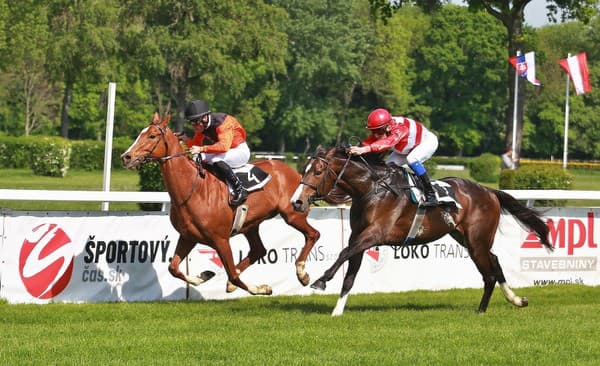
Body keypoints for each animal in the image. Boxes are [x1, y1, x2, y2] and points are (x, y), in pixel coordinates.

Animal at [119, 113, 322, 296]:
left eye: (152, 136)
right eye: (141, 133)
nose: (126, 157)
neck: (193, 190)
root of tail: (297, 174)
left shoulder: (221, 240)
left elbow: (233, 275)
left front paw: (261, 288)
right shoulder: (187, 237)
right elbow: (173, 268)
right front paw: (203, 276)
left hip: (292, 214)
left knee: (313, 234)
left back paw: (302, 273)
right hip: (251, 224)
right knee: (259, 250)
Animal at [288, 147, 552, 316]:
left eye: (318, 171)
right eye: (304, 168)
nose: (297, 202)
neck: (371, 189)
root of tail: (489, 191)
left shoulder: (374, 234)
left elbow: (343, 253)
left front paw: (317, 280)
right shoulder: (359, 237)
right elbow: (350, 274)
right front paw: (337, 311)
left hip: (477, 240)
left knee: (489, 273)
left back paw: (484, 309)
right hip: (466, 238)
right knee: (495, 262)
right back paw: (514, 300)